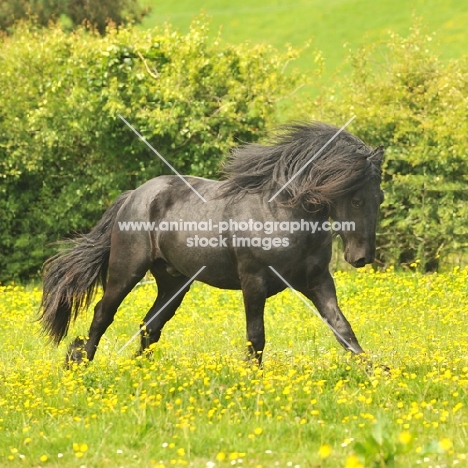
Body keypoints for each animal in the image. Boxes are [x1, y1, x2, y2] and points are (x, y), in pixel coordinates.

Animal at [40, 122, 384, 364]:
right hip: (127, 271)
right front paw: (252, 377)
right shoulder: (253, 281)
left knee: (151, 324)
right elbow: (256, 336)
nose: (361, 257)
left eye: (378, 198)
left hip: (174, 282)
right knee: (103, 313)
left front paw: (375, 371)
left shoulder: (318, 281)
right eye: (355, 200)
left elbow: (342, 327)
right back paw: (79, 362)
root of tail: (134, 196)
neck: (282, 214)